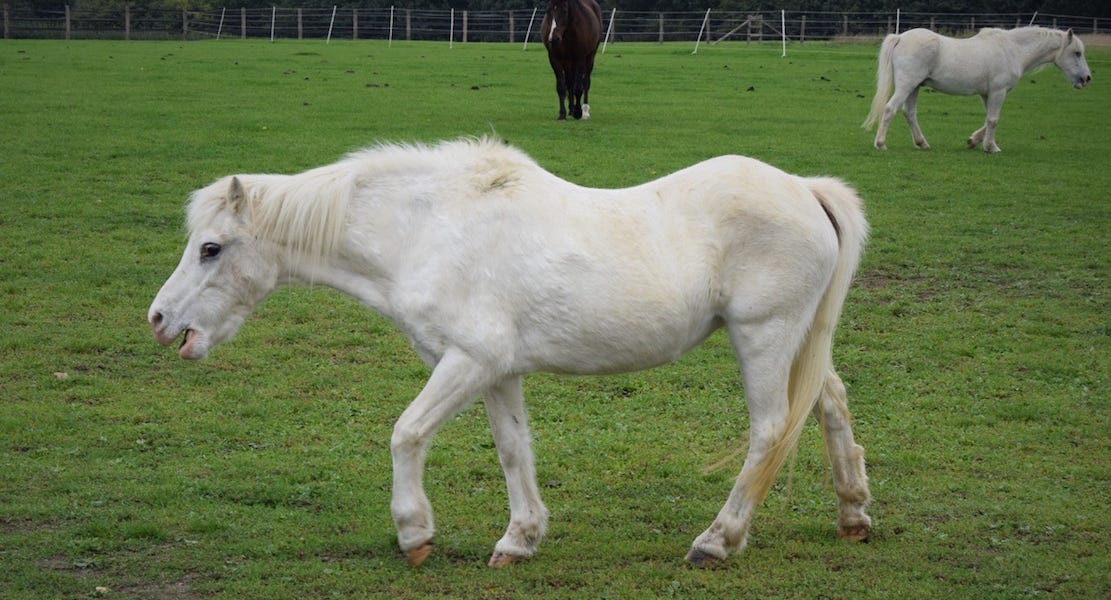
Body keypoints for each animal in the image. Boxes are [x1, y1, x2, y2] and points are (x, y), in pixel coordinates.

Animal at [148, 137, 873, 568]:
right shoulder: (495, 372)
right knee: (830, 406)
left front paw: (414, 534)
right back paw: (853, 513)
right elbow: (512, 449)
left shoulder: (467, 361)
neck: (430, 230)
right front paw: (520, 539)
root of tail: (806, 190)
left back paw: (716, 542)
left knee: (770, 430)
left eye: (210, 248)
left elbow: (406, 434)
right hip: (800, 339)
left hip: (763, 336)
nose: (159, 320)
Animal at [863, 26, 1091, 153]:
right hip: (907, 85)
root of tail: (901, 37)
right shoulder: (998, 92)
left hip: (914, 87)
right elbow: (993, 120)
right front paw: (991, 147)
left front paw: (974, 140)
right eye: (1077, 53)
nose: (1087, 78)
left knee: (909, 113)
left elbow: (988, 120)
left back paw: (922, 143)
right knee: (890, 109)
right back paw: (881, 144)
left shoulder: (987, 94)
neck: (1012, 49)